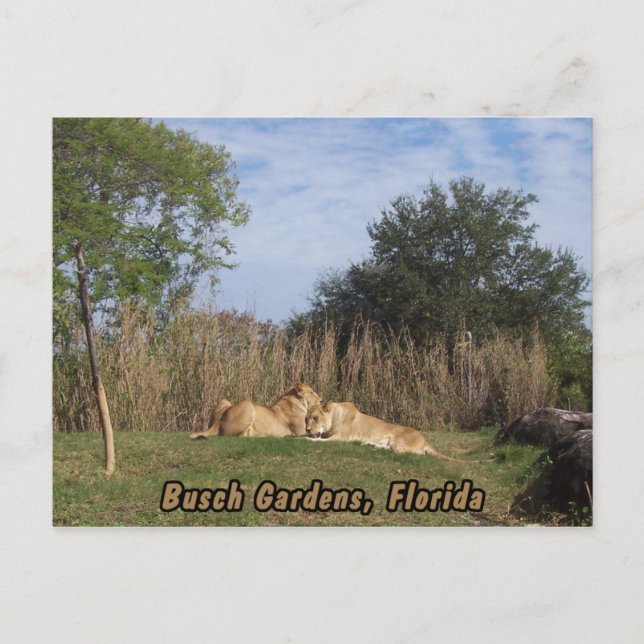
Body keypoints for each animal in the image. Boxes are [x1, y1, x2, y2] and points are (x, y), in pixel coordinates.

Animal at [189, 382, 322, 440]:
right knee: (239, 436)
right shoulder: (301, 430)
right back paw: (265, 436)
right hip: (248, 404)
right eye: (312, 392)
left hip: (224, 400)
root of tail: (216, 423)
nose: (321, 400)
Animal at [305, 401, 475, 461]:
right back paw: (370, 445)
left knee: (410, 453)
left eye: (315, 418)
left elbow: (319, 440)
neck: (335, 416)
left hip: (399, 440)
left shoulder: (342, 438)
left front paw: (306, 439)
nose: (307, 429)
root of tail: (426, 440)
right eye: (306, 419)